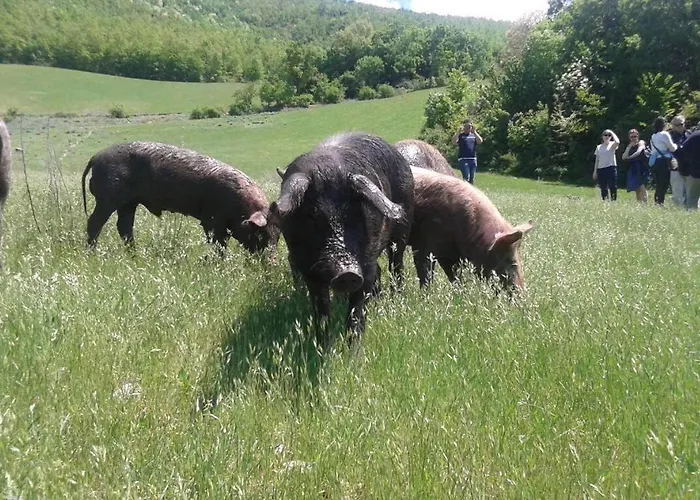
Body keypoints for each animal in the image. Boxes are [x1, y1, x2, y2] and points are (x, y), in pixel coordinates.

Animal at [82, 142, 277, 253]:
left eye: (277, 236)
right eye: (260, 234)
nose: (270, 263)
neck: (241, 207)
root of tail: (96, 157)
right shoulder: (211, 220)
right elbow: (216, 243)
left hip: (129, 202)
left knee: (124, 227)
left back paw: (133, 254)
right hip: (107, 198)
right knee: (94, 222)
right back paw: (91, 252)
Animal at [271, 132, 414, 345]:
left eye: (354, 214)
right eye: (312, 216)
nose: (347, 273)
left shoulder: (366, 264)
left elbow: (356, 311)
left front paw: (353, 350)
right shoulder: (308, 269)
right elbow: (321, 312)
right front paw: (323, 346)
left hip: (402, 231)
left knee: (396, 265)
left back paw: (396, 299)